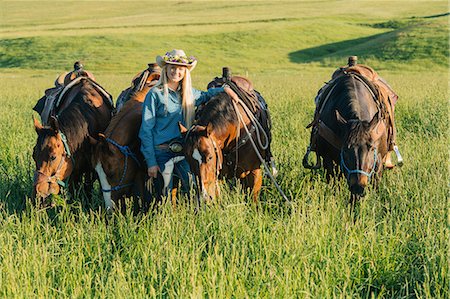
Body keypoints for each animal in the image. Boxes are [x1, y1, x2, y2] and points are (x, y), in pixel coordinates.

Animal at [302, 67, 394, 204]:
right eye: (345, 150)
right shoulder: (328, 158)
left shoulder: (378, 159)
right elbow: (334, 183)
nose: (358, 187)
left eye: (372, 148)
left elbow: (375, 184)